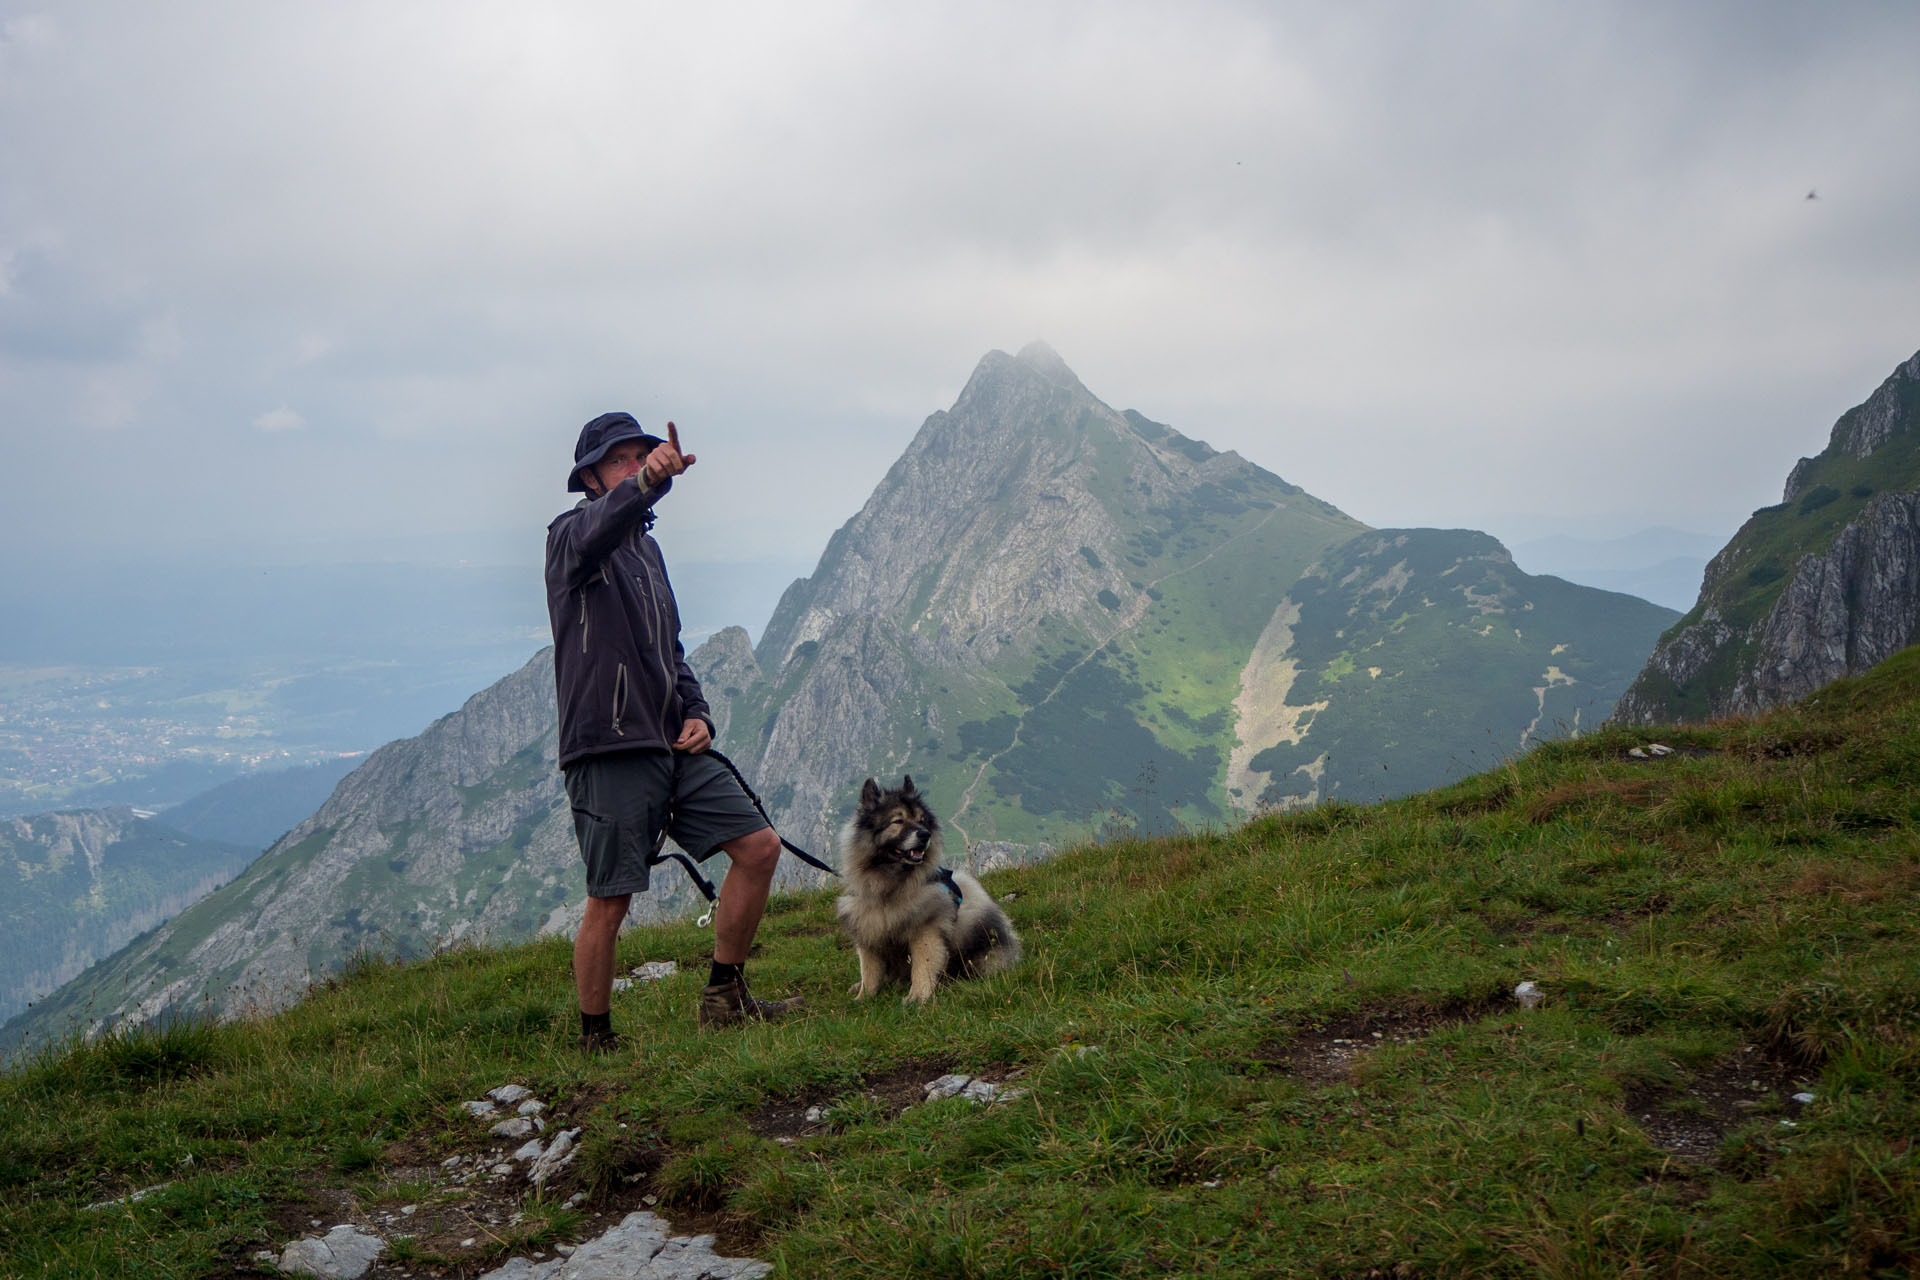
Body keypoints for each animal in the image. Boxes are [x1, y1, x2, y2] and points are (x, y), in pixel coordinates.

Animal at [837, 775, 1021, 1005]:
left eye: (922, 820)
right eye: (898, 821)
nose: (925, 834)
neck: (891, 886)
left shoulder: (925, 930)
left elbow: (922, 966)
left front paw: (916, 998)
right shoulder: (868, 932)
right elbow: (869, 972)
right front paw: (864, 998)